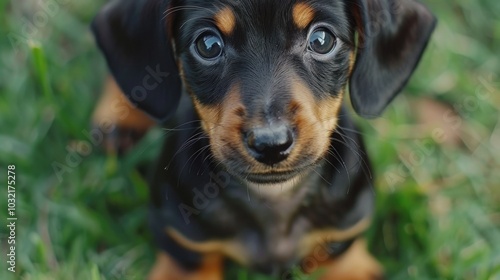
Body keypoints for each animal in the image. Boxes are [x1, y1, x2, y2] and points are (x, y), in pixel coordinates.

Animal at [92, 0, 436, 278]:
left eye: (322, 40)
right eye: (207, 45)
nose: (271, 144)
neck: (274, 200)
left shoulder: (346, 224)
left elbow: (340, 253)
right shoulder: (181, 235)